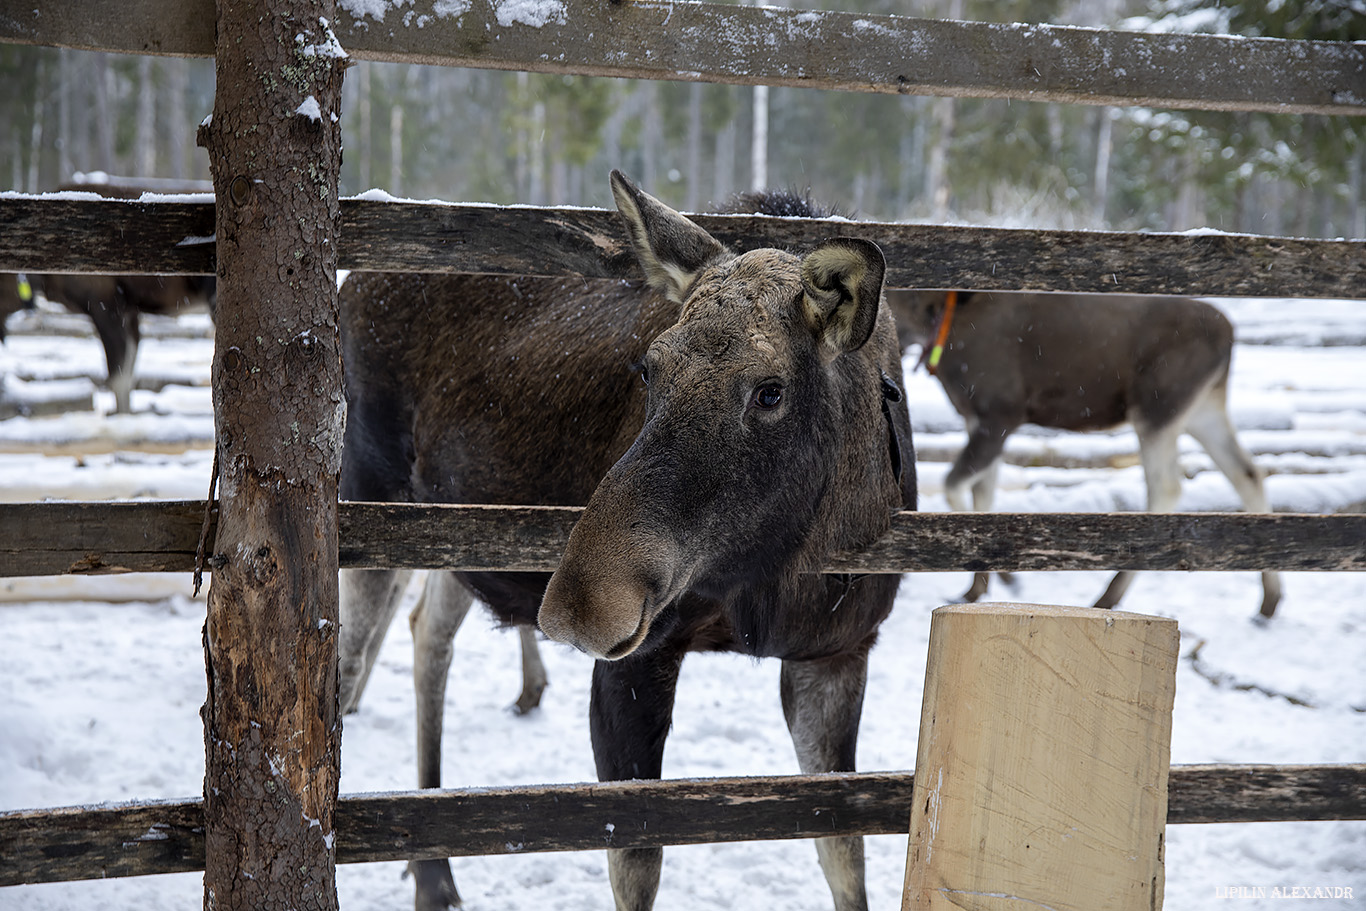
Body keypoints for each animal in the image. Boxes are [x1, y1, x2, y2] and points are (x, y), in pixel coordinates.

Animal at [338, 172, 917, 911]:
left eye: (771, 391)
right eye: (648, 369)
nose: (581, 603)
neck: (784, 572)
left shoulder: (839, 653)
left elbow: (845, 856)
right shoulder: (636, 660)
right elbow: (635, 864)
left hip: (459, 533)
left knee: (427, 632)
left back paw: (434, 871)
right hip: (369, 501)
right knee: (347, 660)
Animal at [885, 290, 1278, 620]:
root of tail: (1230, 334)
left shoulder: (1001, 414)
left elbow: (954, 486)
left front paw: (1003, 576)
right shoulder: (979, 420)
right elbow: (983, 495)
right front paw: (979, 586)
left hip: (1156, 406)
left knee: (1167, 487)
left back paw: (1108, 596)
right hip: (1202, 409)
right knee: (1247, 472)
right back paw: (1270, 599)